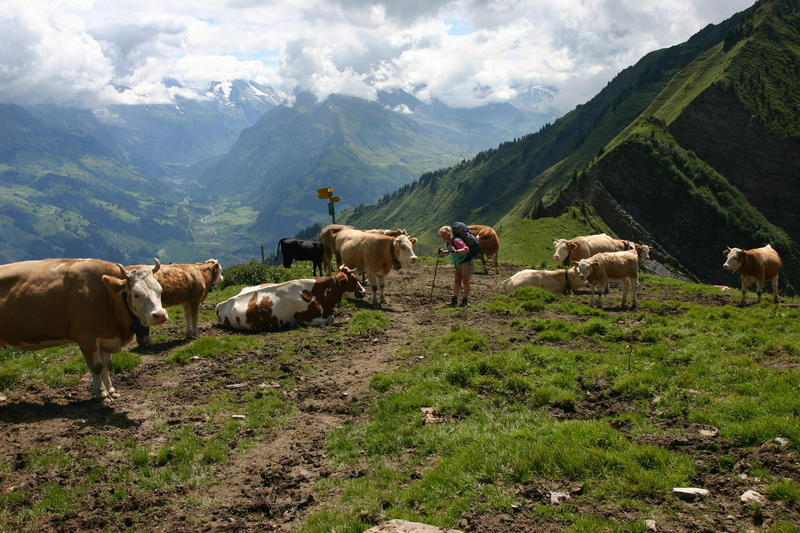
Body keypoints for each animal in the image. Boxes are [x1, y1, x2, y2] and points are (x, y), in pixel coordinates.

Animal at [0, 258, 167, 400]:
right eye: (136, 294)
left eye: (160, 290)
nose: (160, 315)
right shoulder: (86, 337)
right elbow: (97, 366)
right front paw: (101, 394)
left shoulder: (106, 337)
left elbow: (107, 365)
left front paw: (112, 390)